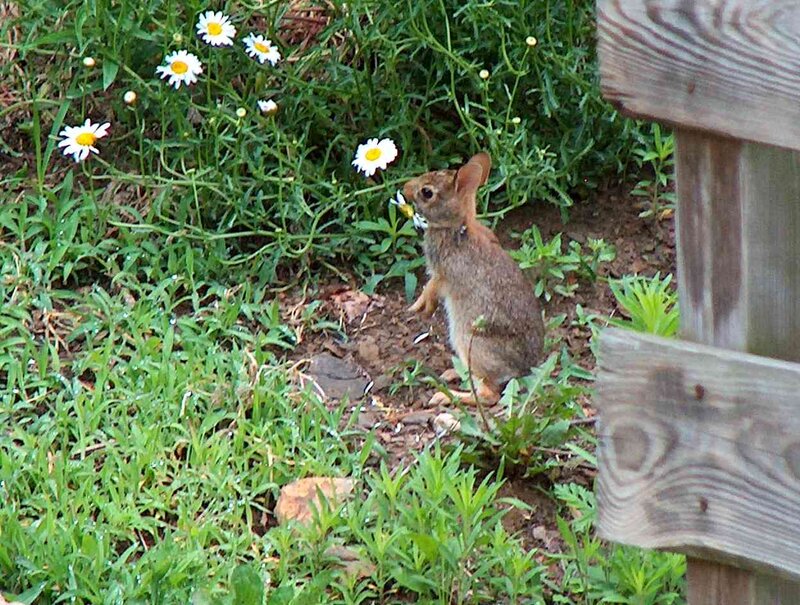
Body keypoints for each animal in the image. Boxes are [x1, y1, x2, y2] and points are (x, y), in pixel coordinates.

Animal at [403, 152, 544, 406]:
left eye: (427, 192)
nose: (406, 188)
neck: (456, 227)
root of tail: (522, 369)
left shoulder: (443, 274)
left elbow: (431, 288)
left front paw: (419, 307)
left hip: (470, 342)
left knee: (489, 395)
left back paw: (444, 396)